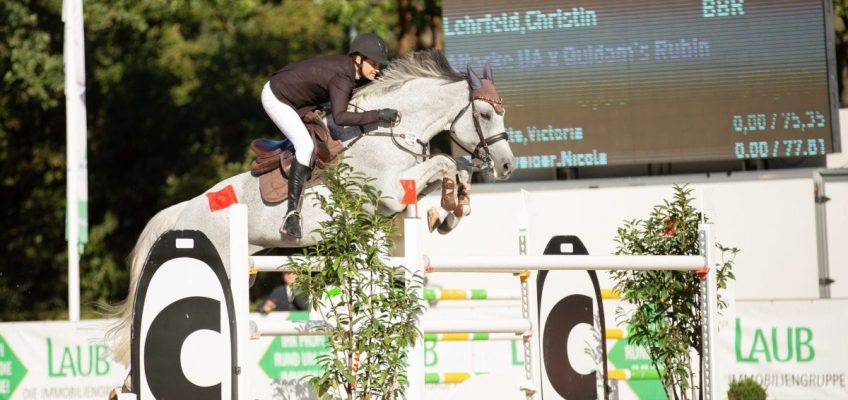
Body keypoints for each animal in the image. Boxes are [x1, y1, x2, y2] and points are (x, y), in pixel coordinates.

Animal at [106, 49, 516, 366]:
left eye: (502, 112)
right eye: (484, 115)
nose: (507, 166)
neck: (393, 132)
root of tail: (183, 213)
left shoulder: (406, 189)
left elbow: (453, 168)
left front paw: (450, 211)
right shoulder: (388, 192)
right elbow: (446, 162)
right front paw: (448, 209)